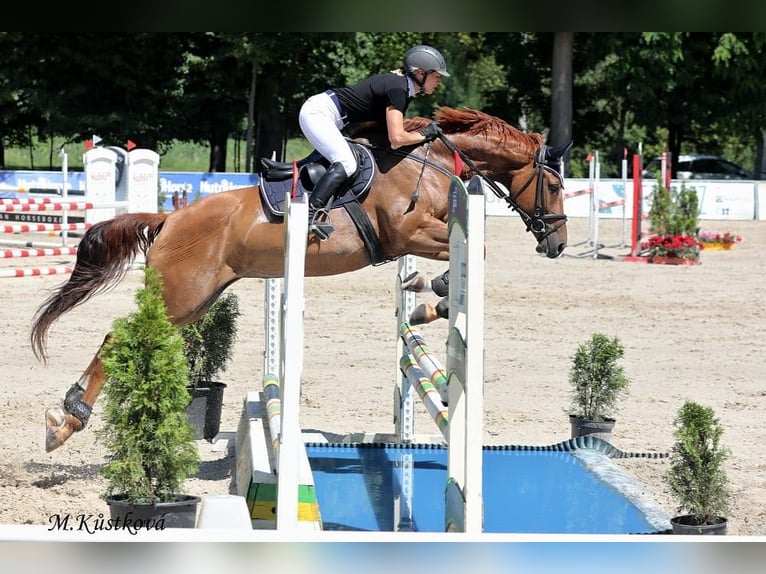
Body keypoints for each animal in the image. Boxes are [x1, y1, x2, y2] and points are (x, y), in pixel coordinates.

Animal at [31, 106, 568, 452]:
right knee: (116, 337)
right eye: (556, 184)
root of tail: (169, 219)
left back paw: (69, 413)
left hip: (195, 300)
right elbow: (474, 251)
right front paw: (427, 295)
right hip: (182, 296)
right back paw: (67, 421)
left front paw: (421, 299)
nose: (558, 244)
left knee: (127, 338)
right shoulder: (408, 232)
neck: (428, 161)